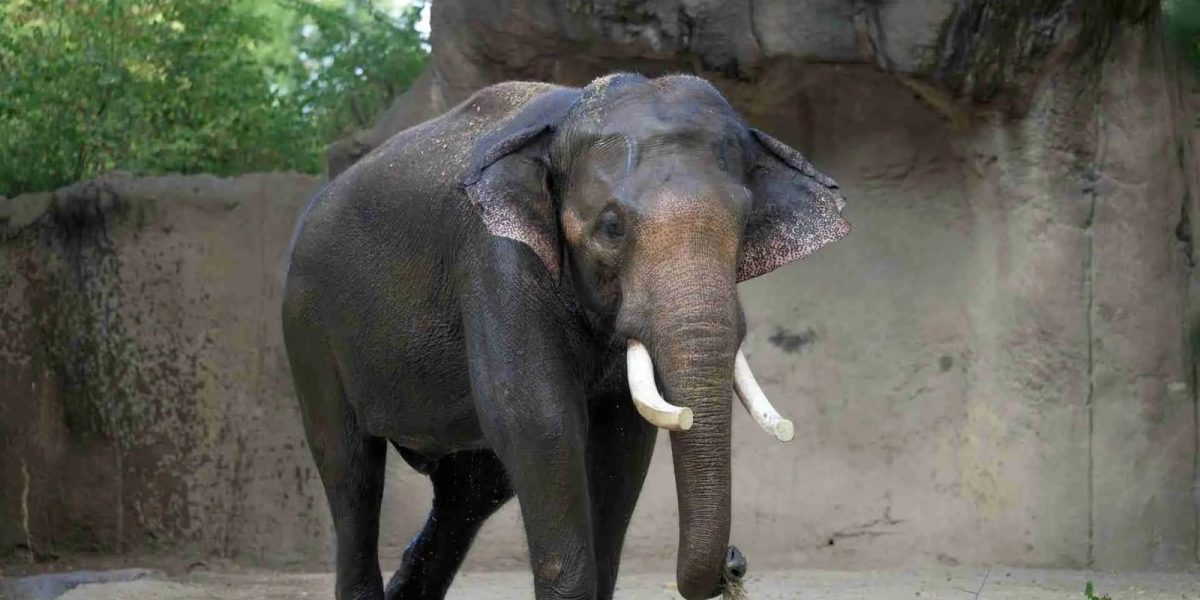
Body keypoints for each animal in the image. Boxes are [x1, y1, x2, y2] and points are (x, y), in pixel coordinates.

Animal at [281, 72, 849, 600]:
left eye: (744, 221)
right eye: (612, 228)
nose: (736, 561)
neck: (567, 115)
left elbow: (622, 437)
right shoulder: (494, 258)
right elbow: (540, 420)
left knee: (469, 493)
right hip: (309, 327)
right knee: (352, 472)